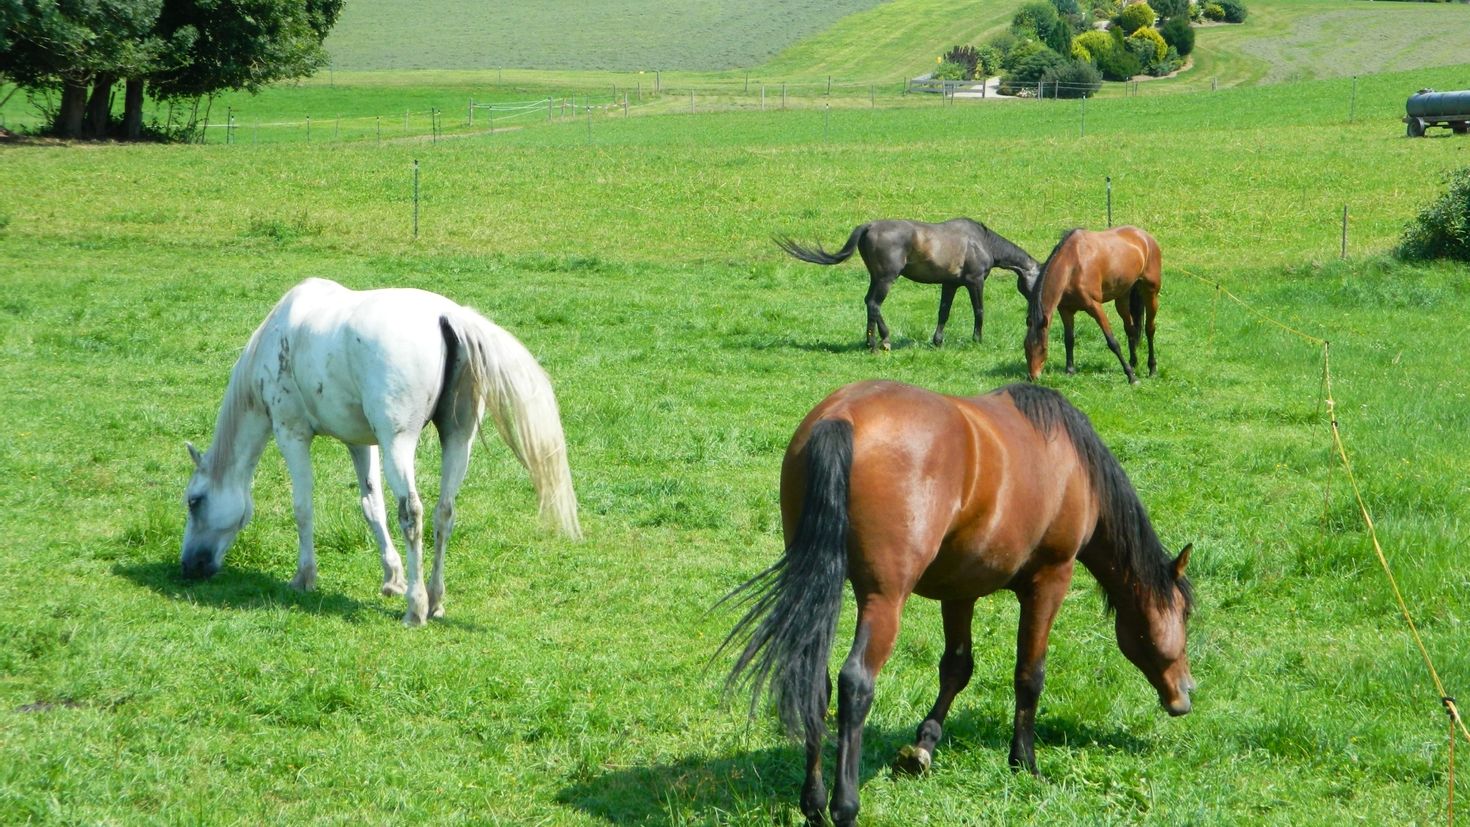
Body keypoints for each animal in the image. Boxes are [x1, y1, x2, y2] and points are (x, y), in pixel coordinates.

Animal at [177, 277, 579, 628]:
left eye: (194, 501)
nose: (187, 568)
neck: (278, 334)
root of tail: (448, 316)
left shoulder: (292, 433)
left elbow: (303, 507)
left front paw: (304, 577)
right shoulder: (360, 442)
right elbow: (372, 507)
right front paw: (392, 577)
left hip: (398, 443)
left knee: (412, 513)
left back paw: (416, 608)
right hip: (456, 439)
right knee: (444, 511)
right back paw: (435, 599)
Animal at [723, 381, 1193, 827]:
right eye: (1186, 614)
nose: (1185, 694)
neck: (1073, 463)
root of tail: (842, 417)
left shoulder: (960, 591)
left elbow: (957, 667)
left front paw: (923, 747)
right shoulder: (1050, 580)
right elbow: (1029, 674)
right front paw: (1025, 762)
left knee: (816, 682)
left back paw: (814, 804)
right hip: (884, 599)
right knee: (855, 683)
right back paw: (845, 807)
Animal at [776, 218, 1040, 351]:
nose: (1035, 311)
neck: (982, 242)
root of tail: (869, 226)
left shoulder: (950, 284)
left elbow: (943, 312)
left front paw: (937, 341)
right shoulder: (975, 282)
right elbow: (979, 311)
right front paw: (977, 340)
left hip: (876, 278)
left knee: (869, 303)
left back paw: (870, 342)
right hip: (886, 278)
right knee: (874, 304)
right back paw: (884, 341)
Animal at [1023, 224, 1158, 384]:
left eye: (1043, 349)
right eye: (1025, 347)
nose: (1033, 377)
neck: (1072, 266)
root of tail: (1145, 236)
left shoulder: (1095, 307)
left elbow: (1112, 342)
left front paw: (1131, 377)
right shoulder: (1065, 310)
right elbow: (1069, 339)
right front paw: (1070, 371)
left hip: (1151, 292)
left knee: (1150, 329)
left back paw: (1152, 369)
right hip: (1122, 297)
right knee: (1130, 329)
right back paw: (1133, 362)